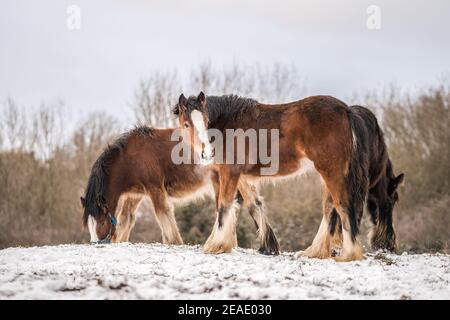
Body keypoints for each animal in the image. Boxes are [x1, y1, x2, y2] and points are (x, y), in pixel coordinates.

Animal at [79, 125, 280, 255]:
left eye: (101, 222)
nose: (95, 244)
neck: (129, 158)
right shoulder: (134, 195)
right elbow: (125, 220)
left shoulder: (154, 188)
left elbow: (163, 213)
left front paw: (174, 242)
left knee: (246, 206)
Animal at [173, 92, 404, 262]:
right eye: (186, 124)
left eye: (205, 121)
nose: (205, 153)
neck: (228, 125)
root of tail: (347, 110)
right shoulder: (243, 177)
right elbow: (252, 206)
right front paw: (266, 246)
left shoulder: (229, 172)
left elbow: (224, 205)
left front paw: (215, 245)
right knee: (330, 208)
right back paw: (316, 251)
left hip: (332, 172)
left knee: (343, 207)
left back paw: (348, 254)